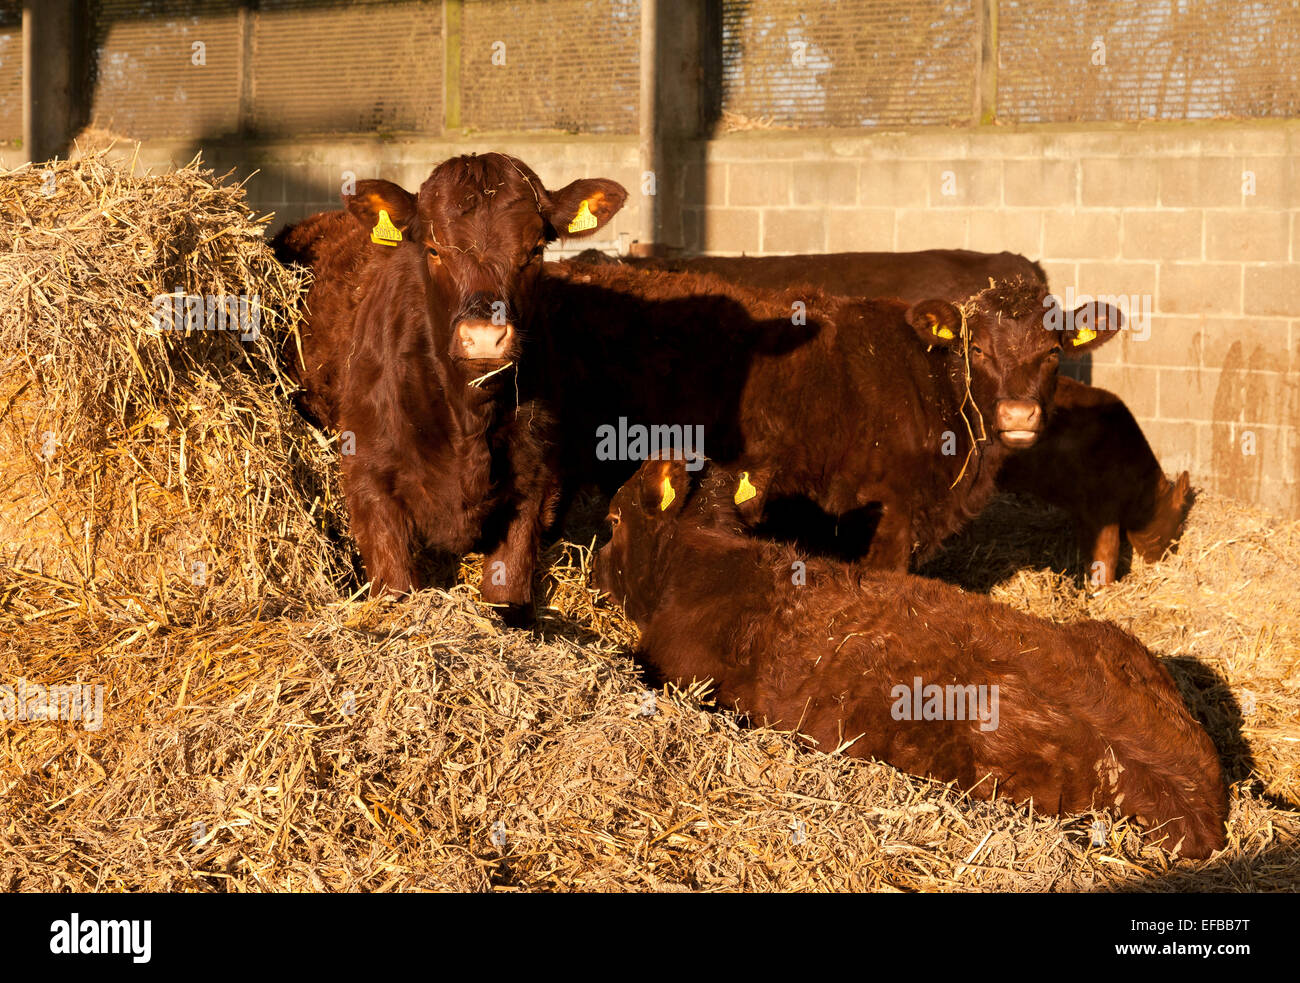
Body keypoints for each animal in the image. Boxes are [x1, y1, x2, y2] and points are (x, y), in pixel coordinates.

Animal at [274, 153, 627, 616]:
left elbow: (507, 597)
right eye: (433, 249)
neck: (469, 421)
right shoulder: (368, 479)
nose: (485, 336)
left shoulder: (534, 486)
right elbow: (395, 589)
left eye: (535, 250)